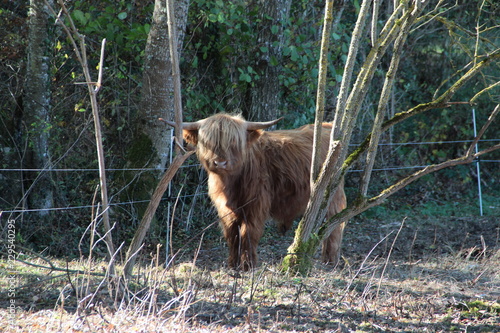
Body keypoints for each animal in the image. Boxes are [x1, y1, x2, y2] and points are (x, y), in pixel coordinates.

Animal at [166, 113, 346, 270]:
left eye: (234, 142)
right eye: (207, 142)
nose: (220, 162)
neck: (230, 184)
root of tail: (328, 127)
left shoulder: (255, 206)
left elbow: (248, 234)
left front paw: (248, 265)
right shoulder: (226, 210)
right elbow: (232, 234)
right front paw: (233, 264)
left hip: (332, 194)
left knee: (334, 225)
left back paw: (330, 261)